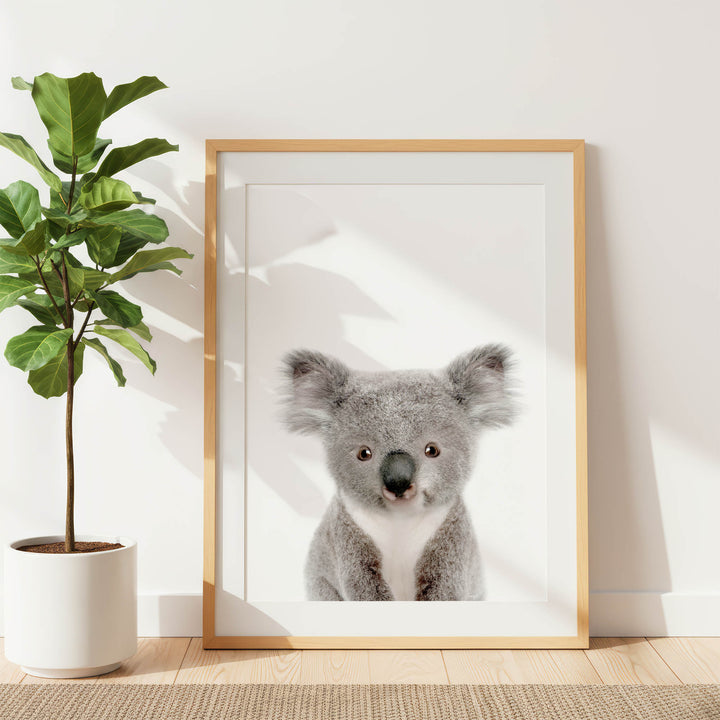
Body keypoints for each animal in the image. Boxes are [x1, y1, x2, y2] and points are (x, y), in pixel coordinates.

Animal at [281, 345, 516, 602]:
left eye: (432, 450)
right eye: (364, 453)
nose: (398, 483)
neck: (400, 521)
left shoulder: (452, 537)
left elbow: (444, 587)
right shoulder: (347, 536)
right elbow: (363, 586)